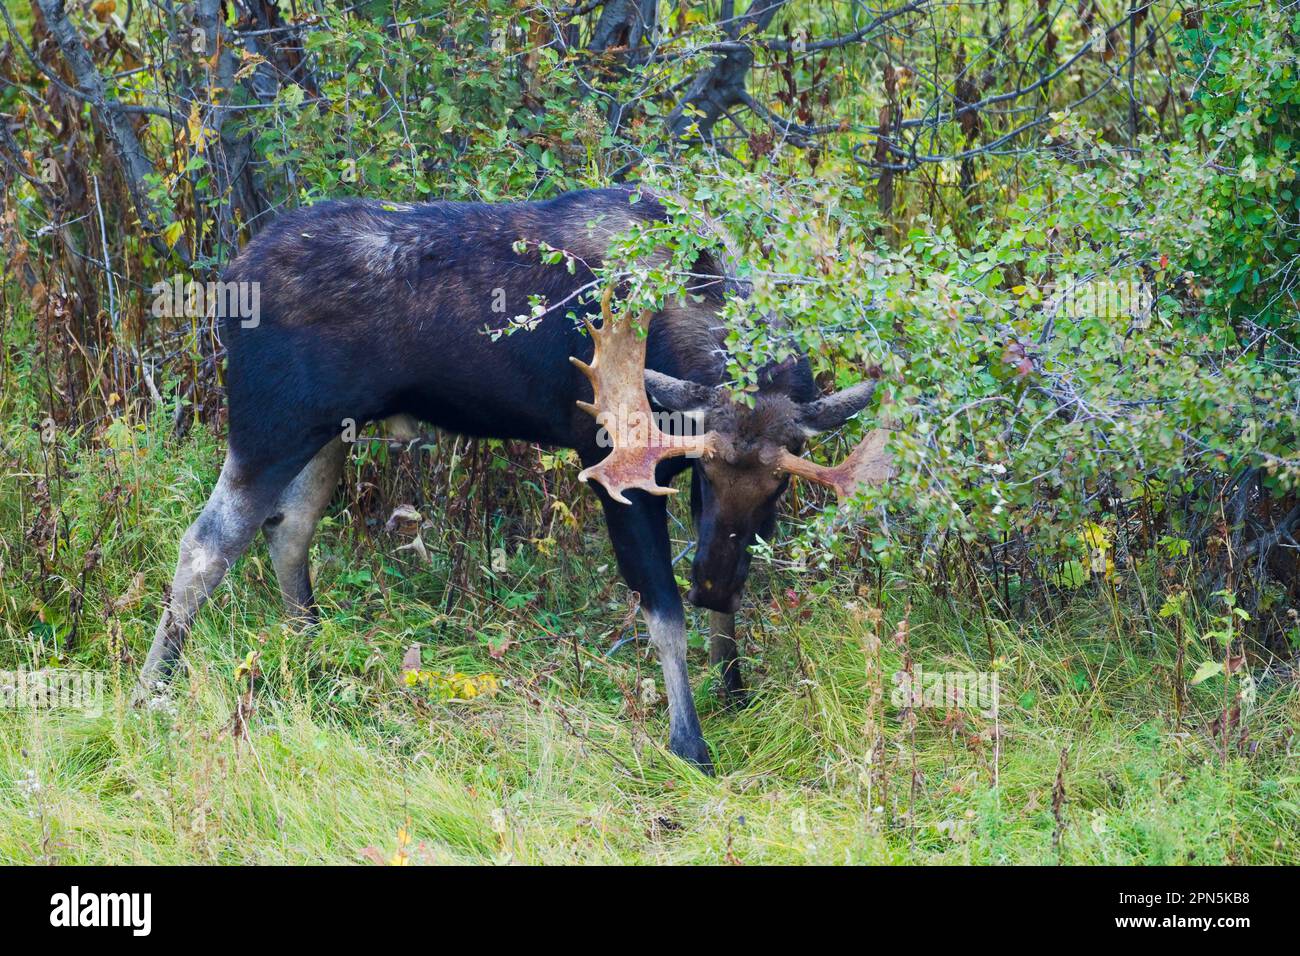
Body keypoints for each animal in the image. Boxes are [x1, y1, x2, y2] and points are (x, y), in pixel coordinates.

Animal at [144, 187, 894, 770]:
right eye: (710, 466)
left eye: (778, 486)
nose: (710, 578)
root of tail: (230, 274)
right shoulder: (610, 461)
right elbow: (662, 610)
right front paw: (690, 742)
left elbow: (724, 602)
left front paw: (735, 689)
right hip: (273, 422)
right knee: (206, 543)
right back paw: (152, 690)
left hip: (331, 429)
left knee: (289, 529)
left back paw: (311, 651)